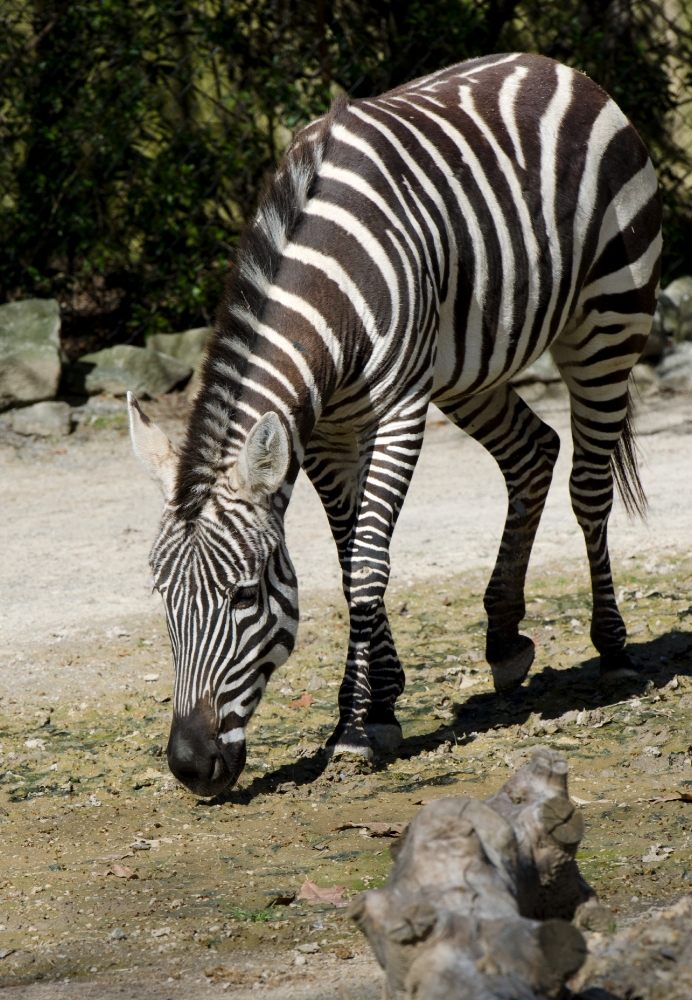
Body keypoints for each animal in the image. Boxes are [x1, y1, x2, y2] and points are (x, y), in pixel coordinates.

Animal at [127, 52, 664, 796]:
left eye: (243, 596)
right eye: (163, 600)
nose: (189, 766)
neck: (327, 290)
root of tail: (551, 65)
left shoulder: (400, 408)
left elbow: (366, 567)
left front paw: (357, 726)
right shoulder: (324, 433)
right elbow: (351, 557)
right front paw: (378, 700)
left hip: (608, 318)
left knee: (589, 486)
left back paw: (612, 649)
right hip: (471, 365)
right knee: (533, 452)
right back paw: (504, 640)